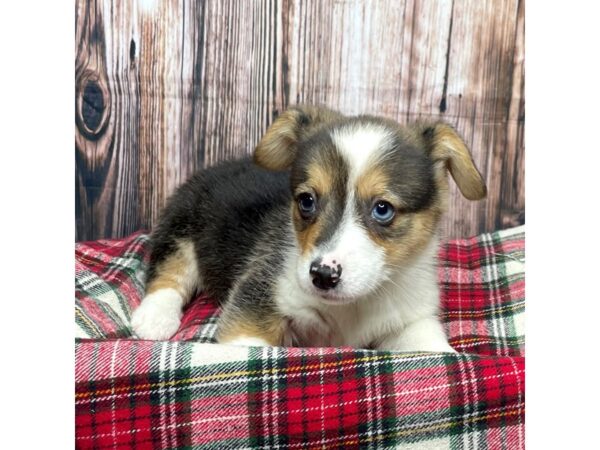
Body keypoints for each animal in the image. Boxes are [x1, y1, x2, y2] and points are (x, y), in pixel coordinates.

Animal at [129, 105, 486, 352]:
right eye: (306, 201)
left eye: (383, 209)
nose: (323, 276)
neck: (355, 304)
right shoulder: (255, 303)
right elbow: (249, 348)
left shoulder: (411, 320)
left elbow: (435, 351)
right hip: (182, 223)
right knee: (169, 270)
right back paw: (154, 319)